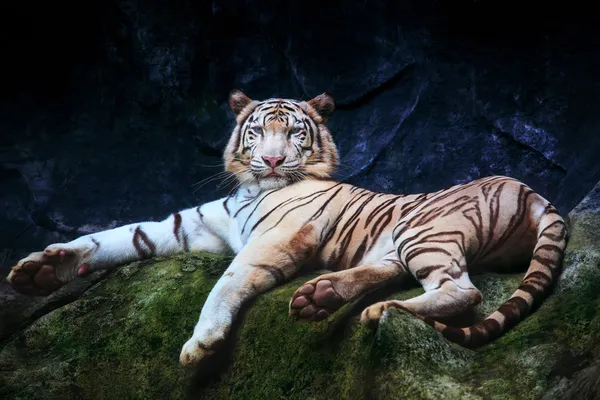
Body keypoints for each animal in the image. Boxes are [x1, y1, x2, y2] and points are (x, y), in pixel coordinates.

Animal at [5, 89, 568, 368]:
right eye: (257, 131)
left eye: (295, 132)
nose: (273, 160)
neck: (252, 188)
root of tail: (535, 192)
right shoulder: (195, 227)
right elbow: (123, 235)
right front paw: (39, 272)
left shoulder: (278, 238)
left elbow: (227, 282)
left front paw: (201, 344)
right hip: (400, 243)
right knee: (392, 274)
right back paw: (323, 298)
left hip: (422, 230)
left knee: (463, 290)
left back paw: (373, 311)